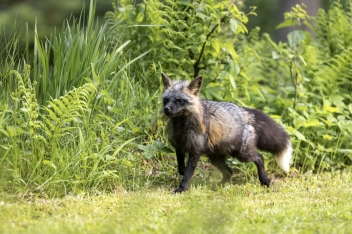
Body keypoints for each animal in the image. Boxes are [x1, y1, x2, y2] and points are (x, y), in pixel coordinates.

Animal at [161, 72, 292, 192]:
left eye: (180, 101)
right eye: (166, 100)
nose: (166, 109)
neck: (181, 126)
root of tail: (242, 110)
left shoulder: (196, 151)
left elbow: (188, 174)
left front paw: (181, 189)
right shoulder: (179, 146)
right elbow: (181, 168)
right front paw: (183, 174)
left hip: (242, 154)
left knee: (260, 158)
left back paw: (264, 181)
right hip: (216, 158)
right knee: (230, 171)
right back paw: (218, 186)